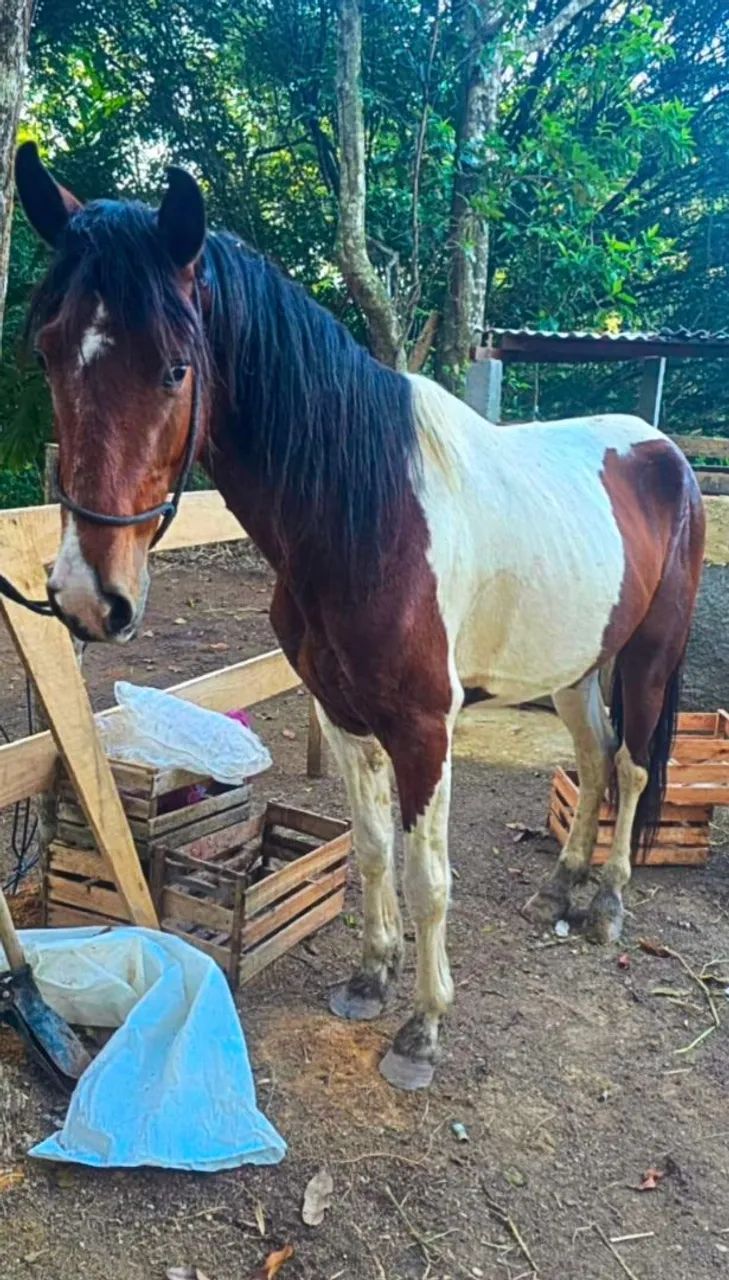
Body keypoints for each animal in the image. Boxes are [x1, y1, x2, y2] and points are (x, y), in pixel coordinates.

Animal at [15, 142, 705, 1091]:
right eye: (48, 352)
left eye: (174, 366)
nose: (90, 595)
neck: (364, 514)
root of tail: (665, 450)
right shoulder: (344, 715)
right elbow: (372, 847)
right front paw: (371, 977)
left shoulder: (423, 728)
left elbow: (427, 878)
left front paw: (422, 1028)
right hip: (572, 665)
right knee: (596, 758)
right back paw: (560, 886)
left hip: (648, 656)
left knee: (634, 768)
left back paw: (604, 904)